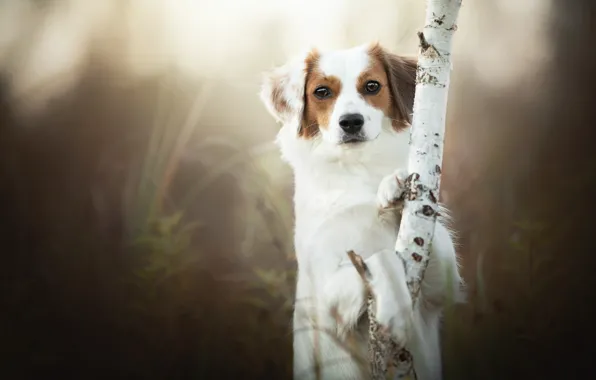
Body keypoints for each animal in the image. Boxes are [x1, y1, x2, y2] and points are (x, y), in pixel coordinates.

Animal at [258, 42, 464, 380]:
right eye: (322, 91)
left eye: (372, 86)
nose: (351, 122)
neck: (356, 169)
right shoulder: (325, 303)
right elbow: (379, 257)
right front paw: (396, 309)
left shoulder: (440, 289)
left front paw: (393, 186)